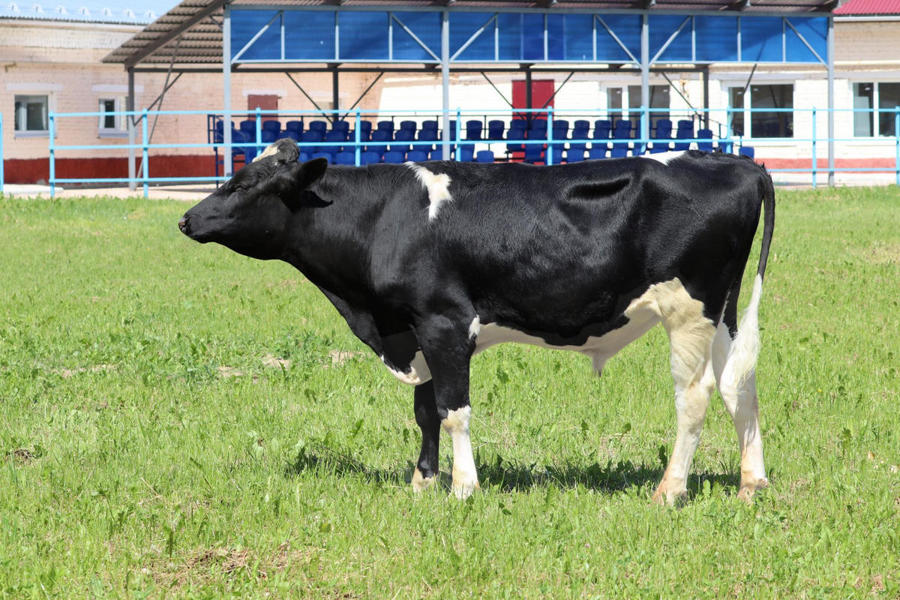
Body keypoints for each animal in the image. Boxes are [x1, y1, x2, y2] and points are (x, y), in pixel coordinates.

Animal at [181, 138, 772, 504]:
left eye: (244, 183)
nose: (186, 218)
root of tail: (739, 162)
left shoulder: (443, 322)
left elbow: (453, 410)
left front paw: (464, 486)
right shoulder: (417, 328)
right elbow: (425, 411)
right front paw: (422, 481)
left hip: (689, 310)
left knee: (695, 396)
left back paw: (670, 490)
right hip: (723, 311)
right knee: (739, 386)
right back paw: (752, 483)